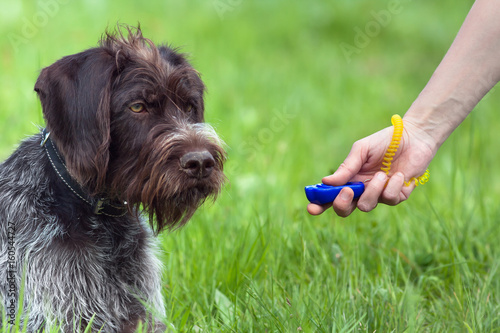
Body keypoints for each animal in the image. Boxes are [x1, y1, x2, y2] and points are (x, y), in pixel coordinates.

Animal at [0, 24, 227, 330]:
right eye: (137, 107)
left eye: (189, 106)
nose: (201, 162)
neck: (101, 220)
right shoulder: (60, 318)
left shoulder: (144, 316)